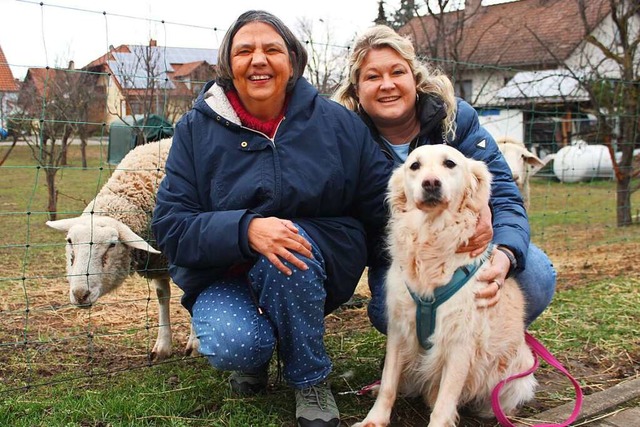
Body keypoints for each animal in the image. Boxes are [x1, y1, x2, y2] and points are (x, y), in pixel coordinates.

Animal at [46, 140, 198, 362]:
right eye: (70, 241)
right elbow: (162, 296)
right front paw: (162, 346)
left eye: (112, 244)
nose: (80, 294)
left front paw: (195, 345)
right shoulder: (159, 263)